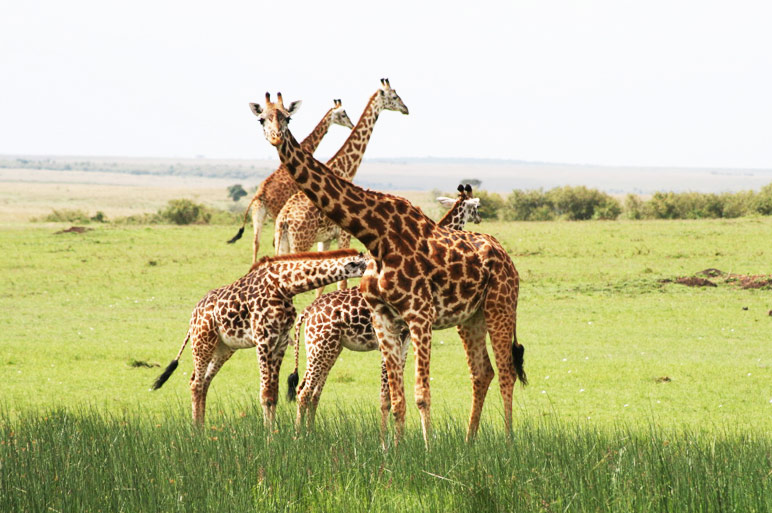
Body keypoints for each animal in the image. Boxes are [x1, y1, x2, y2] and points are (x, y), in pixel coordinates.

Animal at [152, 247, 370, 424]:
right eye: (369, 265)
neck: (284, 286)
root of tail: (194, 314)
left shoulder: (281, 341)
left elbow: (273, 394)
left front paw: (273, 435)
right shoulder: (263, 340)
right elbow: (265, 395)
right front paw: (269, 441)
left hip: (224, 348)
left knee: (203, 381)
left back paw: (203, 428)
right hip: (202, 341)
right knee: (196, 383)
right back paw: (197, 433)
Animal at [225, 99, 354, 264]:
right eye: (343, 114)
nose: (351, 125)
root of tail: (259, 195)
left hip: (258, 213)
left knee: (256, 242)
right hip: (275, 214)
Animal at [272, 79, 410, 294]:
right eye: (395, 96)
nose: (406, 109)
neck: (345, 170)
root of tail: (284, 219)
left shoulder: (326, 238)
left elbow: (322, 285)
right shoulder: (343, 235)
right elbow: (341, 280)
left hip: (283, 243)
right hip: (301, 243)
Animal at [290, 184, 482, 432]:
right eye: (476, 206)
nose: (480, 218)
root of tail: (307, 312)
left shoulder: (404, 340)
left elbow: (389, 395)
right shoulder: (395, 337)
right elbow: (387, 395)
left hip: (329, 348)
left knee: (312, 391)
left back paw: (309, 432)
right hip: (320, 347)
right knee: (303, 391)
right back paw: (299, 435)